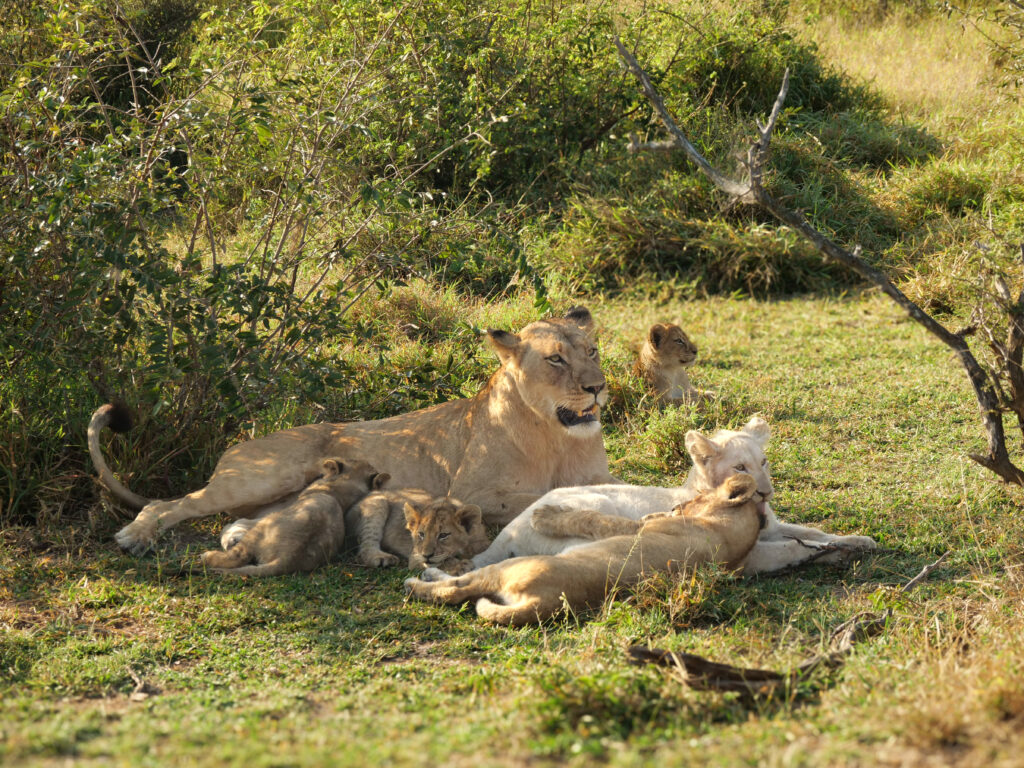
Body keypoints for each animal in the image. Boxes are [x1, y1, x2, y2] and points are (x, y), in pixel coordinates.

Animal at [89, 306, 615, 555]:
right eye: (555, 359)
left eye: (591, 351)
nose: (598, 388)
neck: (557, 438)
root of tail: (236, 448)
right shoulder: (471, 491)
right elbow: (538, 496)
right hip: (261, 476)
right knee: (167, 504)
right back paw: (135, 536)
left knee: (231, 521)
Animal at [199, 458, 388, 577]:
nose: (315, 475)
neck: (338, 491)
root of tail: (287, 558)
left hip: (261, 529)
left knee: (236, 556)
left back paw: (207, 556)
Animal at [404, 473, 765, 626]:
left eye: (694, 499)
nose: (676, 506)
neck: (725, 536)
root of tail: (545, 603)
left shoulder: (635, 530)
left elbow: (596, 520)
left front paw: (544, 515)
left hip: (513, 566)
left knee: (459, 587)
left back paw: (421, 579)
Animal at [461, 416, 876, 576]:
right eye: (740, 467)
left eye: (763, 461)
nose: (766, 491)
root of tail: (505, 535)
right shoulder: (746, 549)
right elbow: (791, 546)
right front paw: (828, 553)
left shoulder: (775, 525)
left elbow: (814, 531)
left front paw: (860, 541)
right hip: (593, 508)